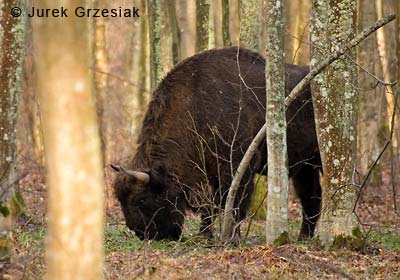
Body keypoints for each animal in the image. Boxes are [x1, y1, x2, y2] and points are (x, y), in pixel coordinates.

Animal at [111, 46, 322, 241]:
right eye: (121, 200)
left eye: (141, 200)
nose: (141, 233)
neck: (196, 107)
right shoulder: (210, 174)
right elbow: (210, 206)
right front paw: (205, 235)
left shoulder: (240, 166)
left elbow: (234, 204)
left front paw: (231, 238)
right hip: (306, 166)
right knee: (311, 198)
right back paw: (304, 237)